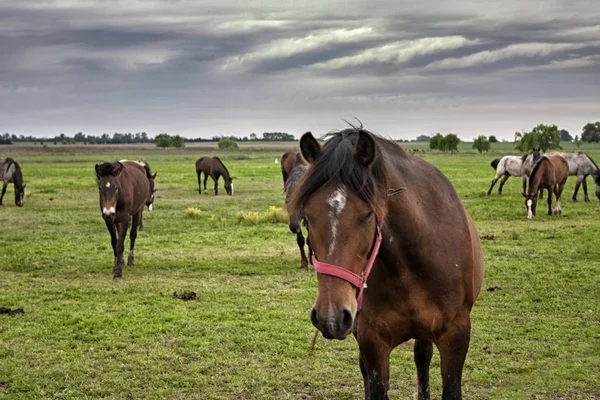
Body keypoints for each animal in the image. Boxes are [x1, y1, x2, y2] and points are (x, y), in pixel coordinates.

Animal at [288, 128, 486, 400]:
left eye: (367, 214)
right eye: (307, 217)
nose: (330, 317)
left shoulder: (456, 333)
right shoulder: (372, 340)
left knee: (422, 357)